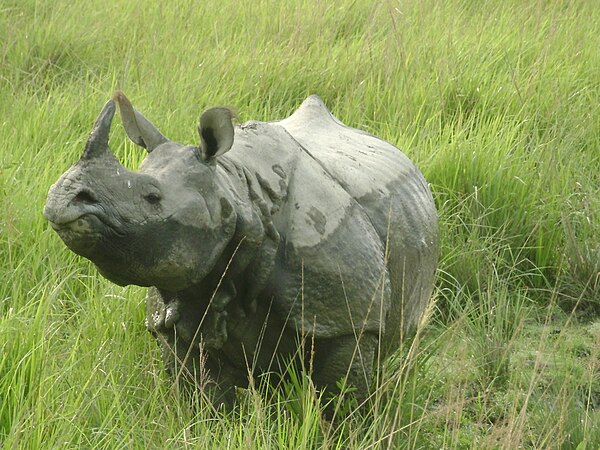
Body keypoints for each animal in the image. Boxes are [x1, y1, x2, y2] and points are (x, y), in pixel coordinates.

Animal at [42, 90, 436, 404]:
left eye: (152, 197)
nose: (63, 197)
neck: (236, 191)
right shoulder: (178, 312)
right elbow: (204, 401)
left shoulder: (348, 318)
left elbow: (342, 401)